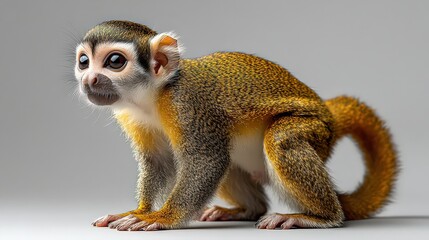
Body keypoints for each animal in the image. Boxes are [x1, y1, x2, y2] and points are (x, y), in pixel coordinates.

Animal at [73, 20, 398, 231]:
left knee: (280, 139)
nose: (89, 79)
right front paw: (139, 211)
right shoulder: (131, 115)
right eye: (84, 62)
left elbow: (207, 158)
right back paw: (248, 210)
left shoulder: (186, 102)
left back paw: (321, 217)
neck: (152, 96)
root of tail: (328, 112)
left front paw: (161, 217)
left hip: (317, 129)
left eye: (115, 61)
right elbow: (159, 161)